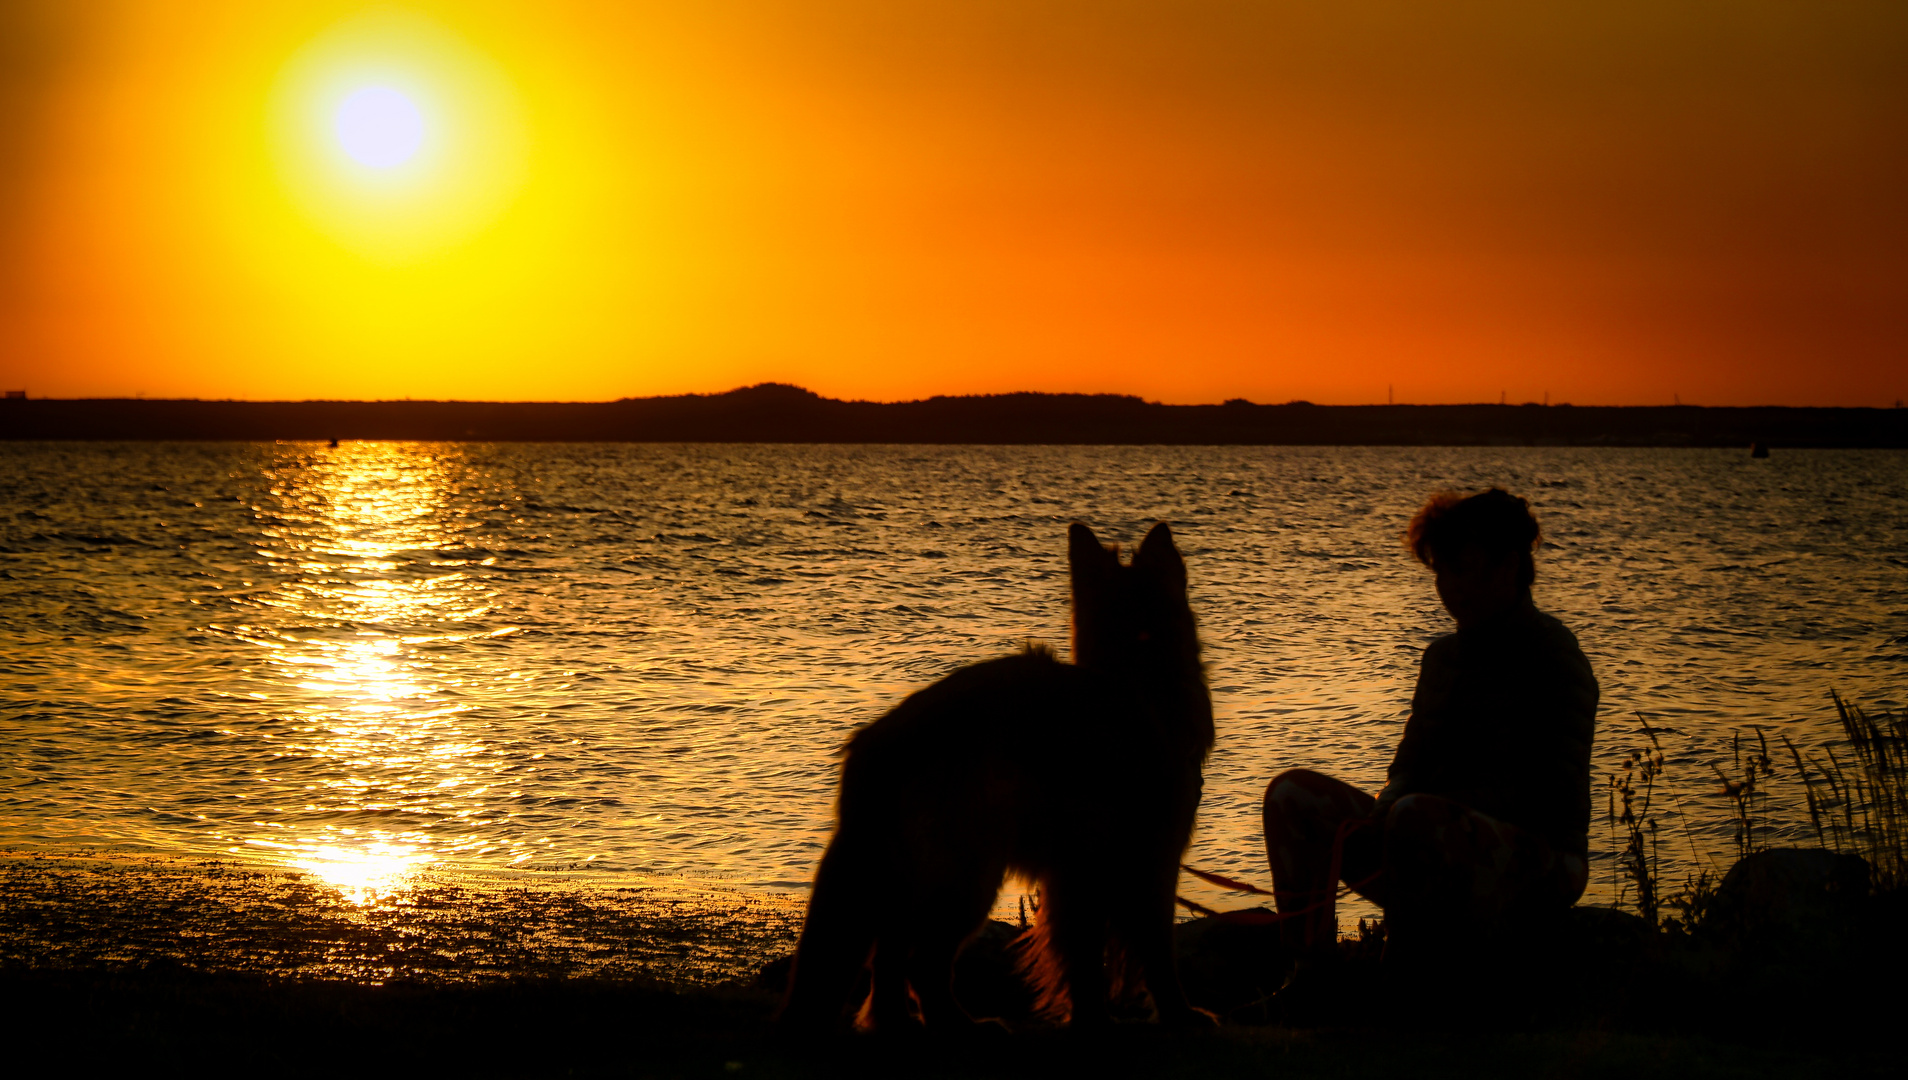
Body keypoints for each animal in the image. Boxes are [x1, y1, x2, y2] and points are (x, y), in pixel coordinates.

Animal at [782, 526, 1213, 1030]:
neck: (1136, 678)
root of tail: (880, 745)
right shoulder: (1140, 863)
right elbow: (1149, 955)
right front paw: (1172, 1016)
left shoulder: (1078, 872)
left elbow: (1085, 960)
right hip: (969, 876)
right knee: (920, 961)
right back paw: (957, 1024)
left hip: (913, 878)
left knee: (889, 960)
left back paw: (904, 1024)